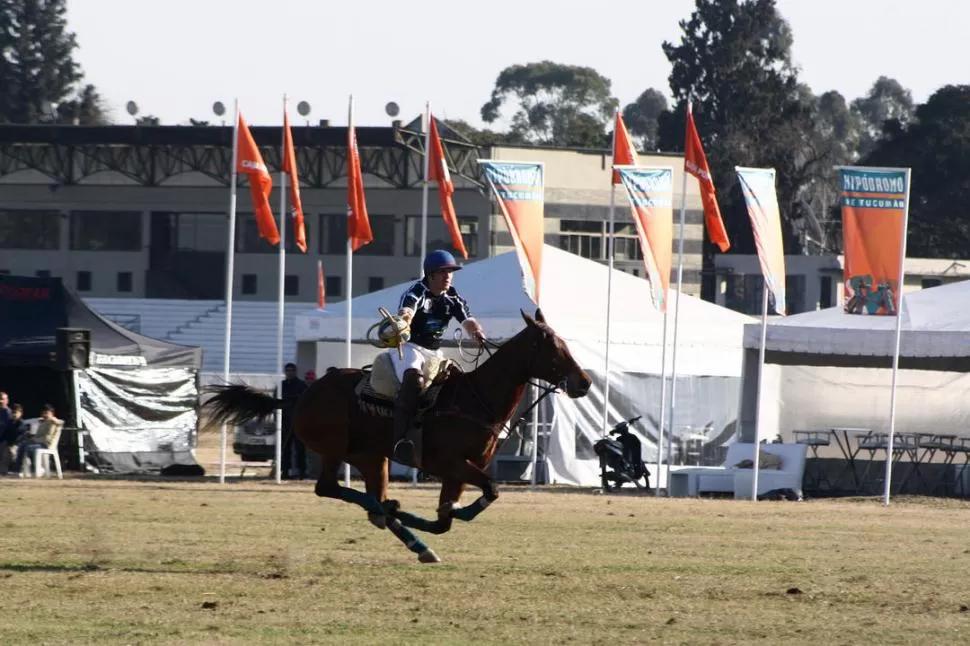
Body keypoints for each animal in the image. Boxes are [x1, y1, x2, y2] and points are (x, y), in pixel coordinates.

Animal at [200, 312, 588, 564]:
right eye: (552, 346)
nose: (584, 383)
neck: (476, 399)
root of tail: (303, 392)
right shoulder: (451, 464)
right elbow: (489, 491)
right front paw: (450, 512)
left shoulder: (458, 471)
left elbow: (444, 520)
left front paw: (438, 519)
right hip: (334, 446)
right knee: (328, 487)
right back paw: (391, 511)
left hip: (372, 457)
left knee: (371, 499)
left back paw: (409, 535)